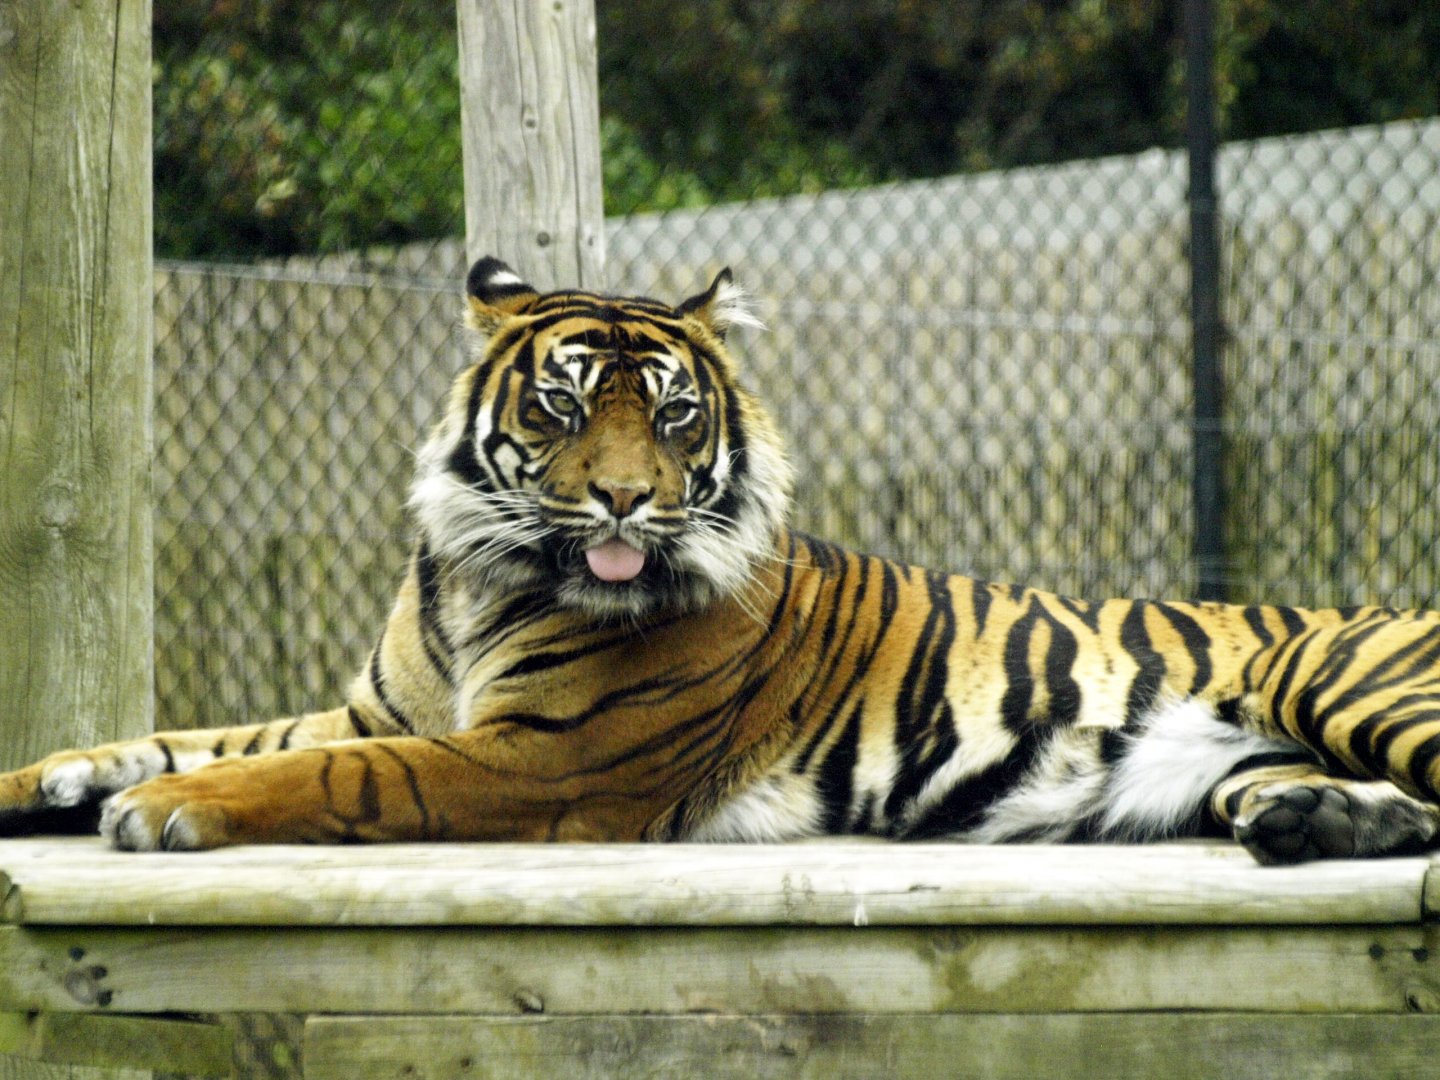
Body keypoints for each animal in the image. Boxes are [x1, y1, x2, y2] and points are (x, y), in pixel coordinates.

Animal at [4, 255, 1440, 866]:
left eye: (676, 415)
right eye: (562, 407)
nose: (626, 500)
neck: (480, 576)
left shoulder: (544, 756)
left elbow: (327, 776)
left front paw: (168, 812)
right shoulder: (378, 704)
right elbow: (194, 731)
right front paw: (55, 782)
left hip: (1349, 683)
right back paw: (1322, 823)